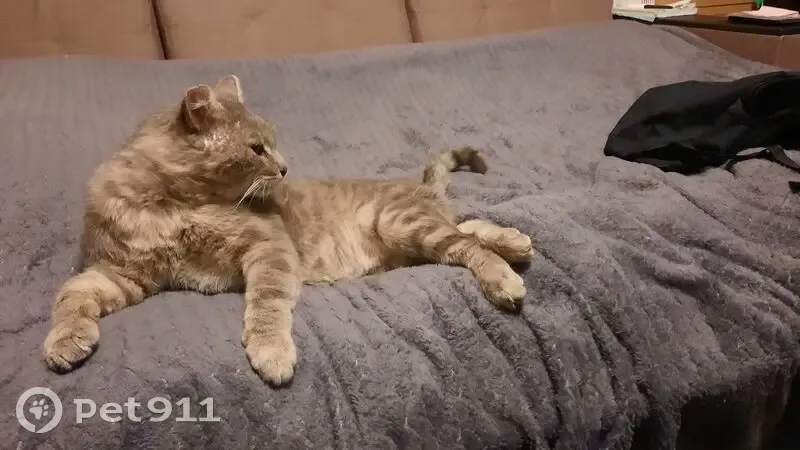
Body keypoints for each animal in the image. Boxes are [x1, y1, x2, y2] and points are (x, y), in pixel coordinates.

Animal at [42, 74, 534, 386]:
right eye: (257, 148)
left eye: (272, 144)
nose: (283, 168)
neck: (176, 207)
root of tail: (421, 189)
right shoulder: (123, 274)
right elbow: (70, 296)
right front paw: (65, 341)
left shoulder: (268, 249)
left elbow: (266, 305)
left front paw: (270, 351)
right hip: (411, 231)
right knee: (468, 227)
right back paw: (516, 242)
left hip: (403, 224)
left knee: (467, 244)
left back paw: (506, 277)